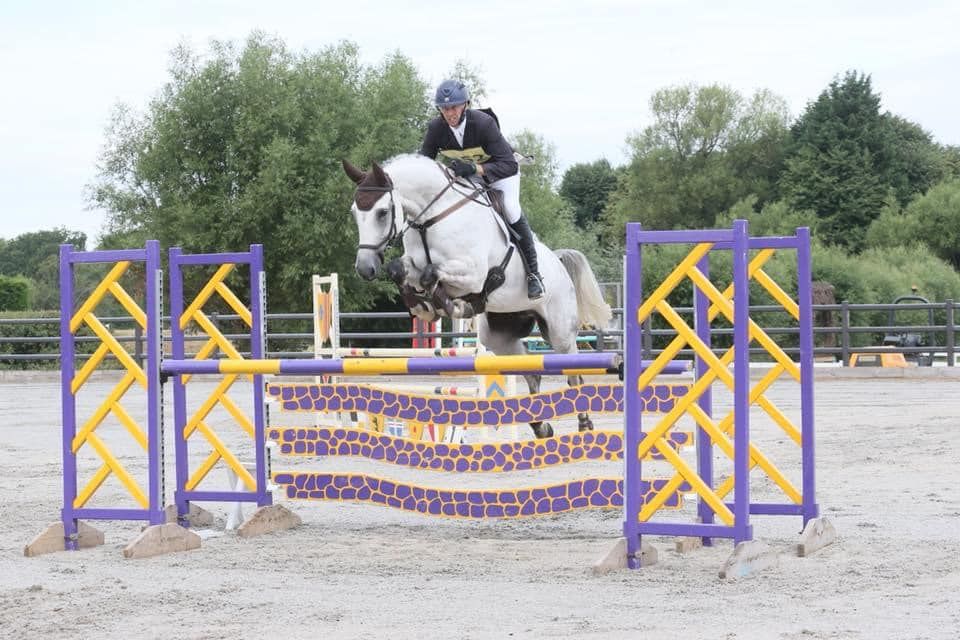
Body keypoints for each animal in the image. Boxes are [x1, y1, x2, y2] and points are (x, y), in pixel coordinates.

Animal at [344, 152, 612, 438]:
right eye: (354, 213)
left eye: (382, 213)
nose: (365, 268)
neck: (433, 218)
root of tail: (558, 261)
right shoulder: (415, 265)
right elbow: (401, 270)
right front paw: (424, 306)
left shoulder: (472, 273)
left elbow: (431, 274)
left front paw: (449, 305)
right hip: (499, 336)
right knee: (531, 371)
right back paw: (540, 425)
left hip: (560, 332)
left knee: (573, 373)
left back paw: (584, 424)